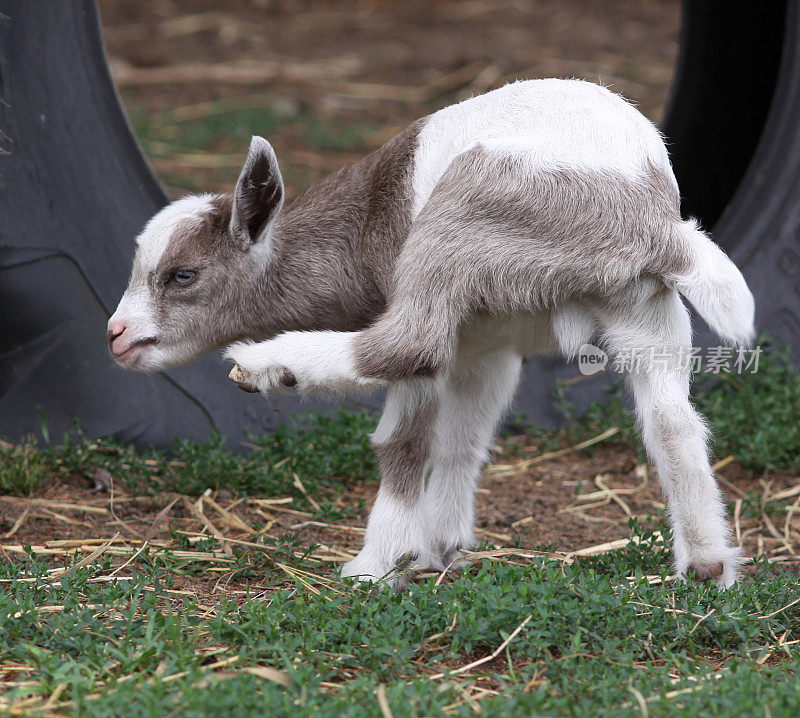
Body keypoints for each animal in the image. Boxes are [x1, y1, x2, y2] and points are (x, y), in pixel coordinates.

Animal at [109, 81, 752, 592]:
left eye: (183, 275)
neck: (359, 230)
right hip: (643, 302)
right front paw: (440, 546)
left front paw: (385, 563)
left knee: (403, 343)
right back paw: (707, 564)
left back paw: (270, 365)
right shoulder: (486, 346)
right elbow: (462, 438)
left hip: (462, 222)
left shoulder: (443, 331)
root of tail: (648, 222)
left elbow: (406, 436)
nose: (117, 335)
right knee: (671, 416)